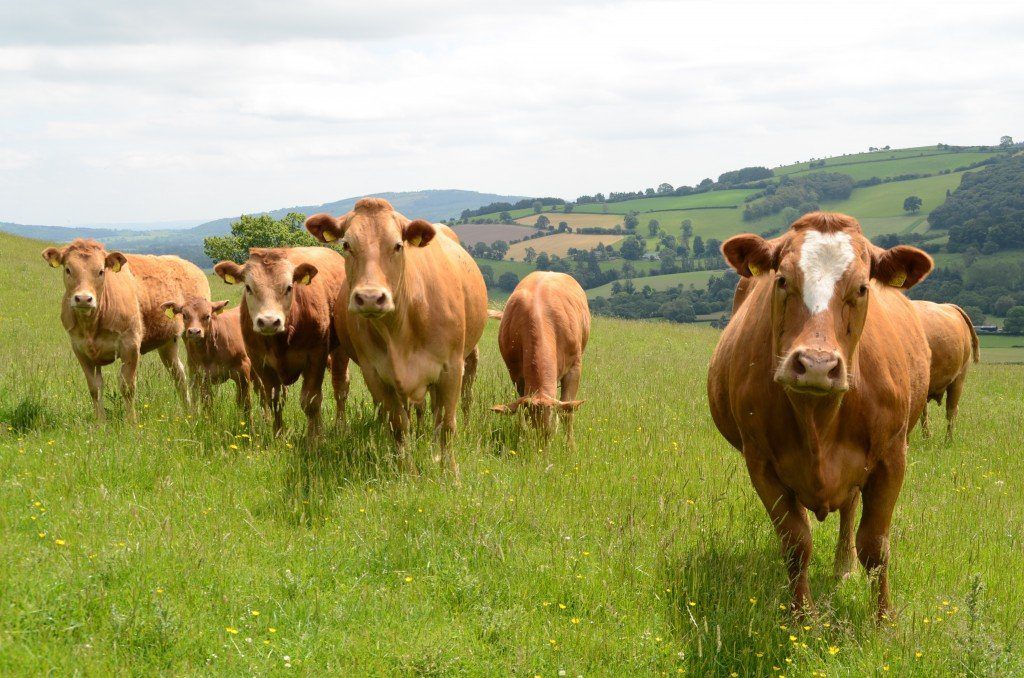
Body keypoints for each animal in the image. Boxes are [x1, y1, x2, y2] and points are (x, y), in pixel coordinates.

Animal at [41, 238, 209, 419]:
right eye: (68, 269)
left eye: (101, 271)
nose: (84, 299)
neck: (91, 326)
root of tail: (189, 265)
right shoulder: (80, 349)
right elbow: (95, 389)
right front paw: (100, 422)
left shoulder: (130, 345)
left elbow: (127, 387)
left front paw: (131, 422)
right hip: (168, 341)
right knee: (178, 374)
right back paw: (188, 412)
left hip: (193, 335)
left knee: (196, 373)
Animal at [212, 246, 352, 438]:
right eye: (248, 287)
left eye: (289, 287)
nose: (269, 321)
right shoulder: (260, 361)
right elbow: (274, 399)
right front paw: (278, 435)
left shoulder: (316, 356)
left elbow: (311, 401)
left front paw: (315, 438)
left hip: (340, 351)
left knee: (340, 387)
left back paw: (340, 427)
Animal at [489, 270, 589, 436]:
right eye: (532, 412)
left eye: (550, 411)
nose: (545, 435)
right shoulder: (517, 375)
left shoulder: (575, 368)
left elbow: (567, 411)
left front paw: (570, 443)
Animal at [708, 214, 933, 622]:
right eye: (782, 280)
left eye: (862, 288)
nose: (816, 365)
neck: (818, 418)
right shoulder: (761, 463)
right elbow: (796, 543)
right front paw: (801, 617)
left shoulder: (892, 457)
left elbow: (875, 545)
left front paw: (883, 620)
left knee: (850, 510)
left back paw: (844, 566)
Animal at [917, 301, 978, 440]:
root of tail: (949, 305)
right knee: (925, 412)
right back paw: (927, 437)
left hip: (959, 379)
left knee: (951, 411)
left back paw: (948, 441)